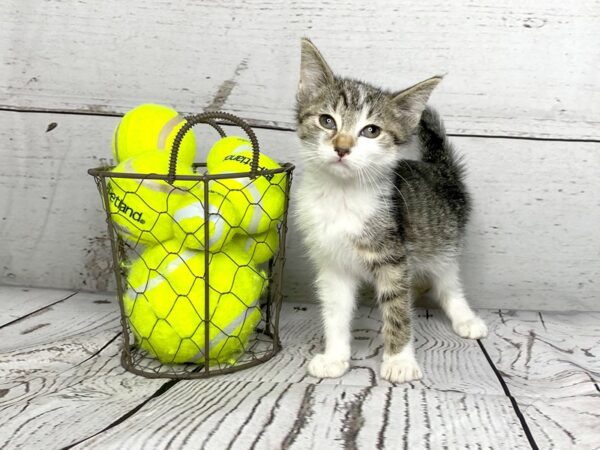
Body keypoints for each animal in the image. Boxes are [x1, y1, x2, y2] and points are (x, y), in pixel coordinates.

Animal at [294, 39, 488, 384]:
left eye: (371, 131)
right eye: (327, 121)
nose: (342, 147)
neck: (342, 195)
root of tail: (441, 170)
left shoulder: (394, 258)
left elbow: (398, 306)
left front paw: (399, 359)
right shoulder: (332, 263)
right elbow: (335, 310)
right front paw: (335, 357)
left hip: (443, 241)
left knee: (447, 282)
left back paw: (465, 318)